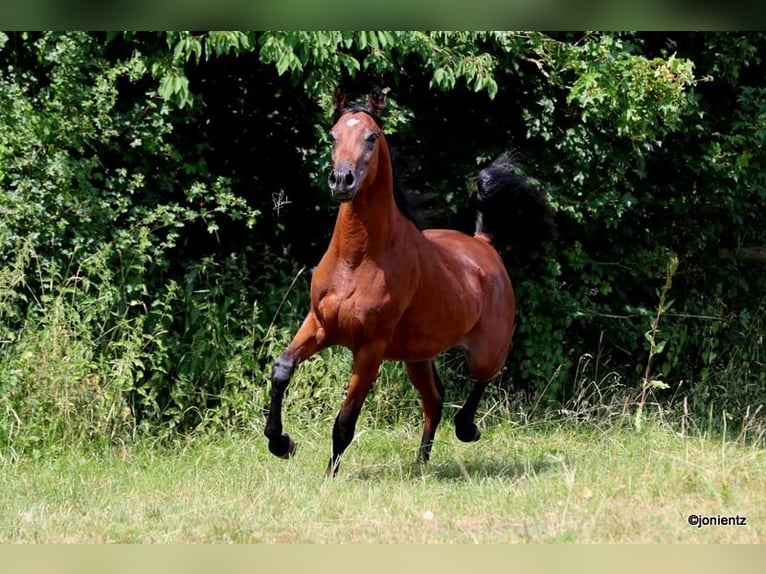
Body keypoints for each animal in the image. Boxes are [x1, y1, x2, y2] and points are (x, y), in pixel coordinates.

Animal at [264, 87, 555, 476]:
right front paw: (281, 443)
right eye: (332, 136)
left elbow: (345, 421)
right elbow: (282, 369)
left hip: (484, 350)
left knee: (486, 374)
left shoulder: (369, 349)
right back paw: (421, 464)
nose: (341, 180)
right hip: (417, 357)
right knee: (434, 400)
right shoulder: (320, 325)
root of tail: (483, 244)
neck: (357, 259)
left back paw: (467, 430)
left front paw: (328, 476)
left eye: (371, 137)